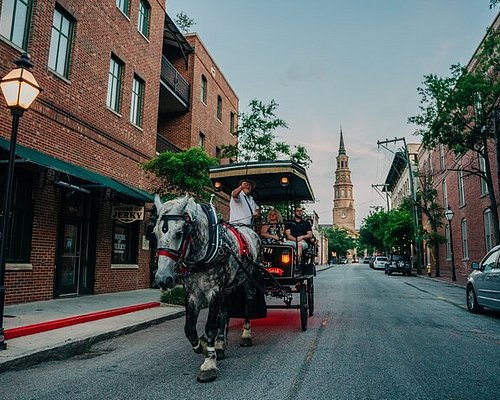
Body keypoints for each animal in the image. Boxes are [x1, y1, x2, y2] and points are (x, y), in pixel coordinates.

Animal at [152, 195, 262, 382]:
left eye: (179, 233)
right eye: (154, 233)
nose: (162, 278)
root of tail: (251, 231)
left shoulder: (214, 290)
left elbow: (210, 326)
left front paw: (209, 363)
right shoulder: (192, 293)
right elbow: (189, 329)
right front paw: (203, 346)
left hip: (248, 278)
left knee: (247, 304)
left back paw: (246, 335)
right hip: (228, 287)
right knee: (225, 312)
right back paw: (220, 343)